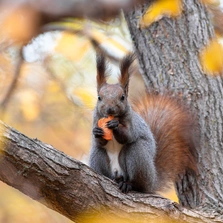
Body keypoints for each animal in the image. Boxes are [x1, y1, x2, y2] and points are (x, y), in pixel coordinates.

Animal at [89, 53, 197, 193]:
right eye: (99, 98)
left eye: (123, 97)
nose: (110, 109)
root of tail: (152, 180)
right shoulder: (95, 119)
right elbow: (99, 141)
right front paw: (97, 132)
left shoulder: (132, 123)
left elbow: (128, 136)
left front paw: (115, 126)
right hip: (97, 157)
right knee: (100, 154)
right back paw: (114, 179)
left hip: (138, 157)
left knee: (138, 183)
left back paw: (128, 184)